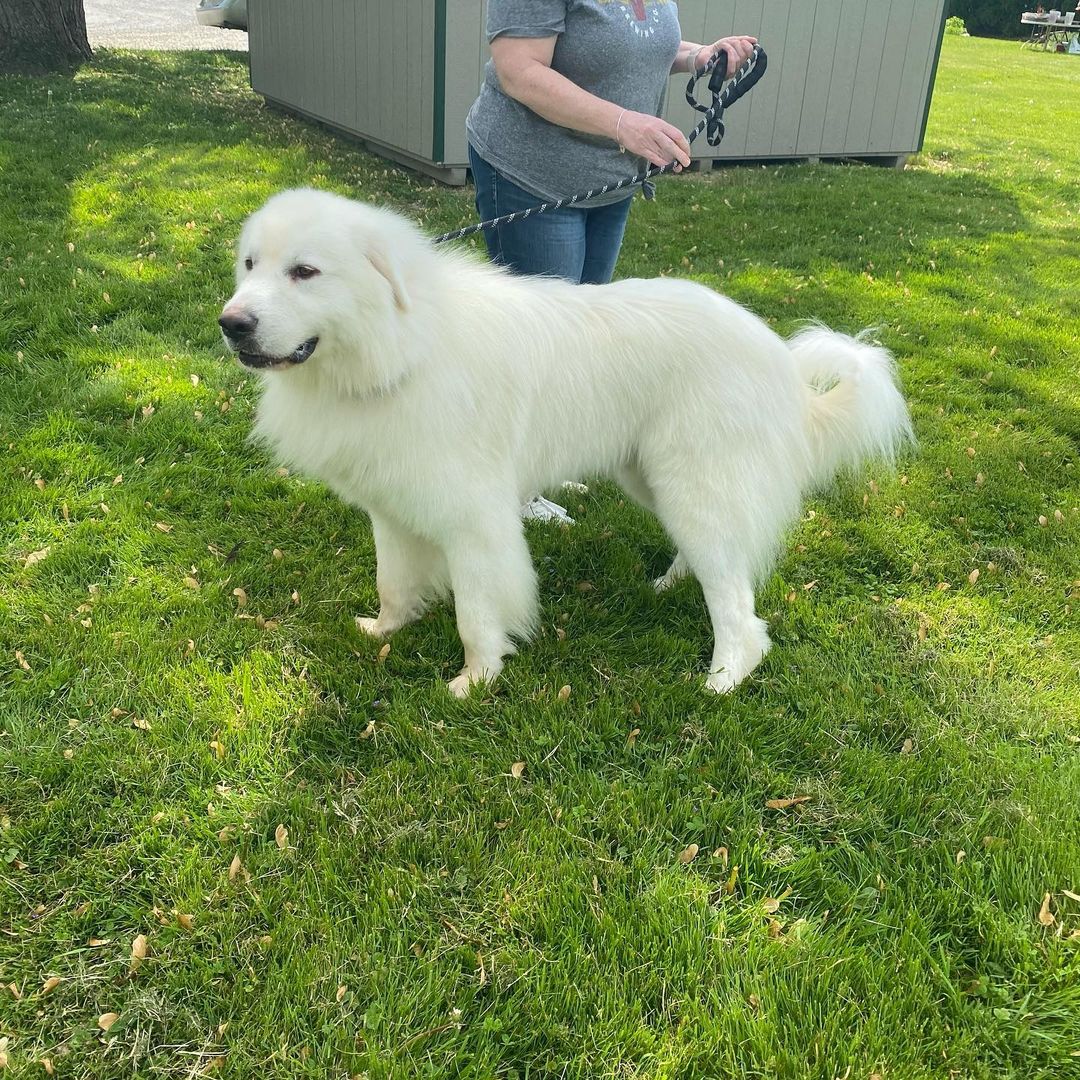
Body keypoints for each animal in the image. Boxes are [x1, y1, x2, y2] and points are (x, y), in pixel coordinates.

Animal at [219, 189, 911, 695]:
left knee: (740, 612)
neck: (399, 350)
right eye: (251, 265)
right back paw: (669, 586)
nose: (231, 324)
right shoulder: (391, 508)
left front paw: (474, 682)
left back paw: (721, 680)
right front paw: (384, 631)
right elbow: (394, 582)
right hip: (655, 481)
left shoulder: (474, 522)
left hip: (694, 486)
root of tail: (779, 361)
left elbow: (476, 611)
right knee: (715, 562)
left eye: (305, 272)